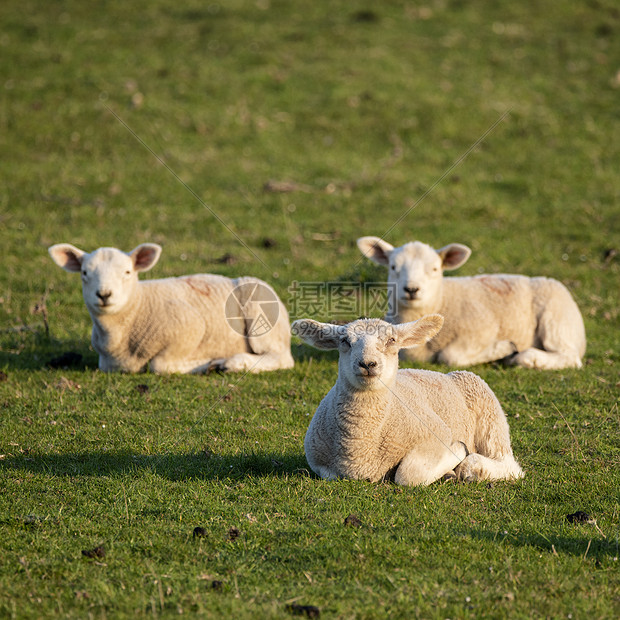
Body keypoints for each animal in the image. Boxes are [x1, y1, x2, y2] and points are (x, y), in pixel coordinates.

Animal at [47, 241, 294, 372]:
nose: (104, 294)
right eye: (84, 273)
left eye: (127, 272)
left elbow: (159, 365)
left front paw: (205, 364)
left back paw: (233, 362)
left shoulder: (191, 326)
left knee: (281, 357)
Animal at [292, 314, 524, 484]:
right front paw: (448, 470)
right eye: (345, 341)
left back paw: (472, 466)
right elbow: (330, 475)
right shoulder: (320, 463)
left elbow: (407, 475)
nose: (367, 364)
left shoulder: (438, 432)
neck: (360, 447)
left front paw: (458, 452)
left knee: (509, 464)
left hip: (489, 413)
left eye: (391, 340)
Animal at [356, 236, 584, 370]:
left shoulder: (484, 328)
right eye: (393, 267)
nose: (411, 289)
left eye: (435, 269)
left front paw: (504, 348)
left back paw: (527, 357)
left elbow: (450, 357)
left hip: (555, 320)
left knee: (570, 356)